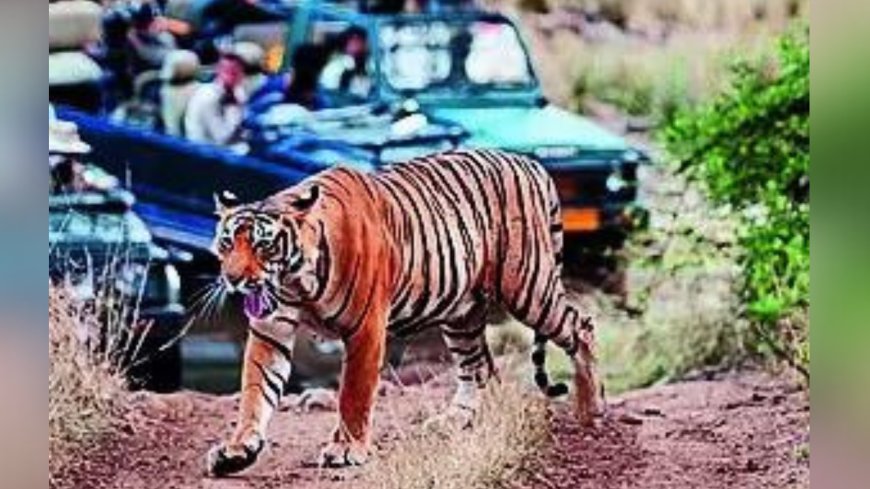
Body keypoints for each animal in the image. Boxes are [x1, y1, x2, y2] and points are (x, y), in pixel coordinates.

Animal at [205, 149, 600, 476]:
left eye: (263, 245)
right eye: (227, 243)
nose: (233, 279)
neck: (295, 280)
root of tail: (530, 163)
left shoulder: (365, 328)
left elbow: (354, 393)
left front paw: (346, 449)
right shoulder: (270, 329)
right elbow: (255, 390)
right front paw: (237, 449)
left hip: (529, 288)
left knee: (581, 328)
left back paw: (591, 410)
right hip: (462, 313)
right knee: (478, 367)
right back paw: (456, 422)